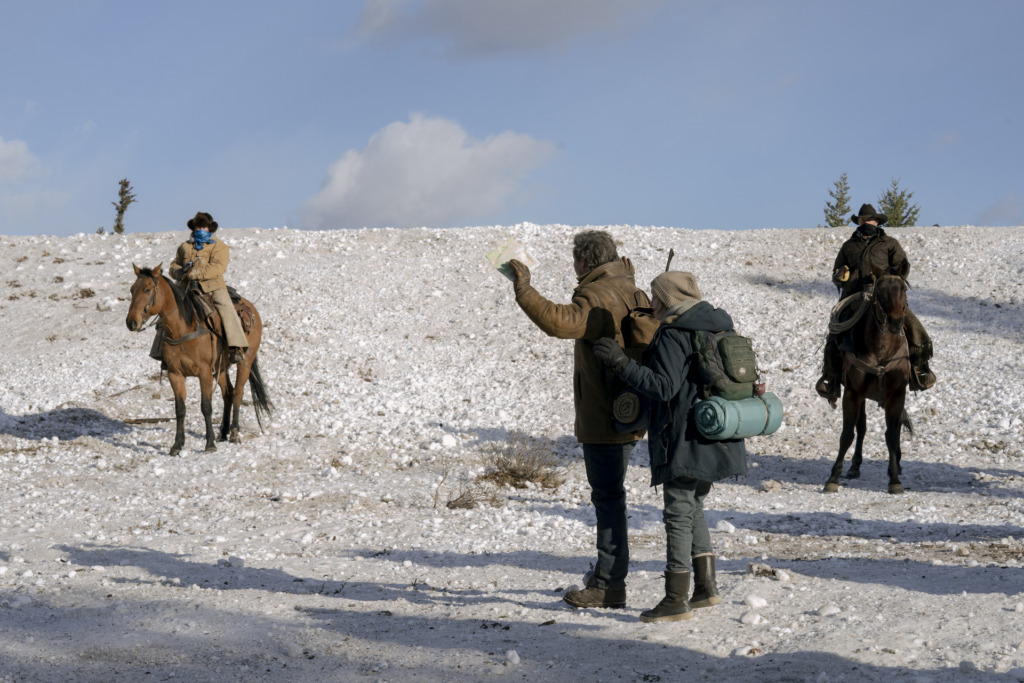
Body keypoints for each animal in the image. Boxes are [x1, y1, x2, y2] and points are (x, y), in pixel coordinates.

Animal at [124, 264, 272, 456]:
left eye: (147, 289)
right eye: (132, 290)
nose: (131, 322)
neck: (183, 330)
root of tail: (250, 308)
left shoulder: (204, 373)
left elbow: (206, 407)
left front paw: (209, 444)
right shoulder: (175, 374)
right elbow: (180, 409)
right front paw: (177, 445)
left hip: (245, 361)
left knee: (238, 393)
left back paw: (234, 433)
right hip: (221, 368)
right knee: (228, 394)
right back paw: (223, 433)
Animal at [823, 264, 913, 493]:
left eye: (903, 289)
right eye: (879, 291)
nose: (895, 321)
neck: (880, 352)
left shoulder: (897, 395)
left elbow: (892, 435)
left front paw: (894, 480)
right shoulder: (853, 394)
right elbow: (848, 434)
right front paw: (833, 478)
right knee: (861, 427)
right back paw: (854, 466)